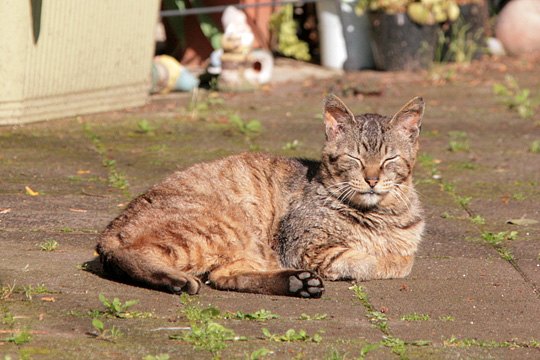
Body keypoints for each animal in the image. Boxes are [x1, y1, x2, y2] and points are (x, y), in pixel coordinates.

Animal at [97, 93, 426, 298]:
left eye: (389, 159)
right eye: (354, 158)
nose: (372, 180)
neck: (380, 214)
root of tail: (108, 230)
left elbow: (399, 257)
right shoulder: (307, 250)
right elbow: (385, 262)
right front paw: (384, 259)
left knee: (223, 276)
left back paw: (295, 283)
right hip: (222, 226)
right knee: (128, 254)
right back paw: (175, 279)